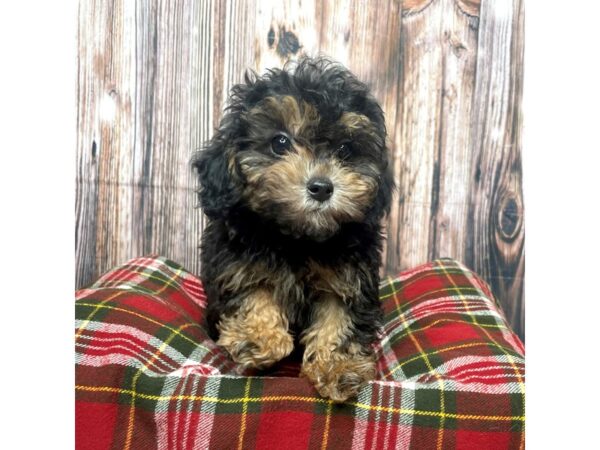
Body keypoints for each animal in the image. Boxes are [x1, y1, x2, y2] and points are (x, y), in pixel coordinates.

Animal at [193, 56, 394, 400]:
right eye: (279, 142)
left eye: (345, 150)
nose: (321, 187)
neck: (297, 238)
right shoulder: (236, 267)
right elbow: (254, 297)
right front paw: (257, 339)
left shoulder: (350, 280)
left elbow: (340, 320)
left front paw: (337, 366)